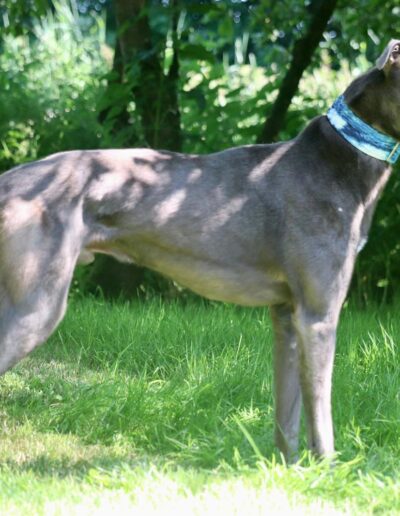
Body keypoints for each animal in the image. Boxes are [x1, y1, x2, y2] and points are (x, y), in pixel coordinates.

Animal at [0, 39, 399, 461]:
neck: (341, 157)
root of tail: (9, 180)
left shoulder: (288, 316)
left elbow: (288, 417)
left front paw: (288, 470)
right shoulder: (318, 315)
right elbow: (321, 419)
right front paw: (328, 470)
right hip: (37, 306)